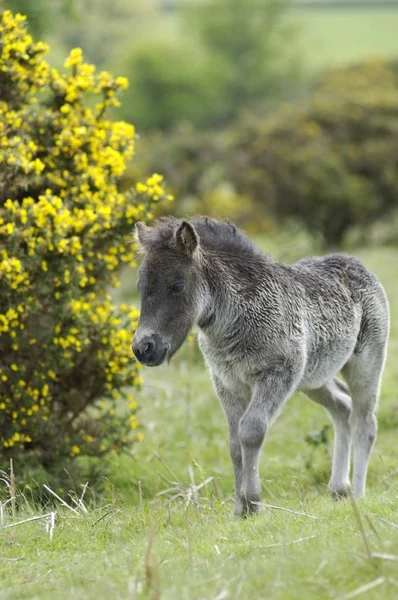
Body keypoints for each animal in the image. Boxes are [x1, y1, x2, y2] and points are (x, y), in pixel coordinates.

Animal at [132, 216, 388, 516]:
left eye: (177, 285)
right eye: (140, 287)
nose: (143, 348)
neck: (238, 315)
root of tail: (357, 264)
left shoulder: (277, 375)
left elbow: (251, 431)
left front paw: (252, 502)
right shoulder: (227, 383)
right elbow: (234, 444)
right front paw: (238, 509)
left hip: (365, 363)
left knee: (364, 422)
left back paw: (357, 494)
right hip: (315, 378)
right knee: (342, 407)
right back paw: (338, 489)